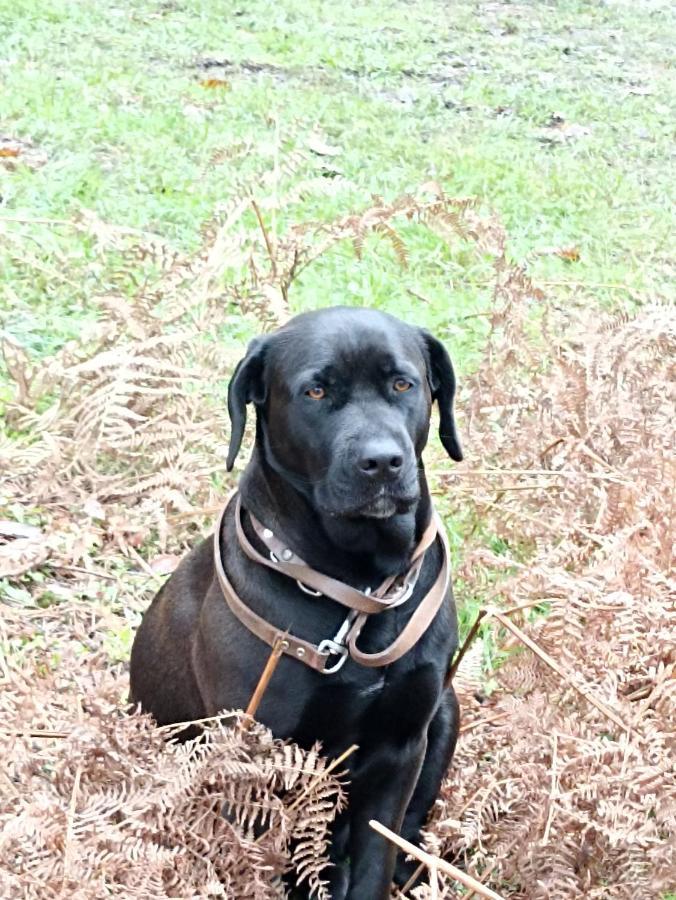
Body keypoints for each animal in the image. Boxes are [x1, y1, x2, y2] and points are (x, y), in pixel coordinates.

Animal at [129, 306, 462, 896]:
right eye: (315, 390)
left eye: (403, 383)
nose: (382, 462)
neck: (356, 591)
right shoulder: (254, 760)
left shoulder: (401, 746)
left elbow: (375, 858)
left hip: (447, 711)